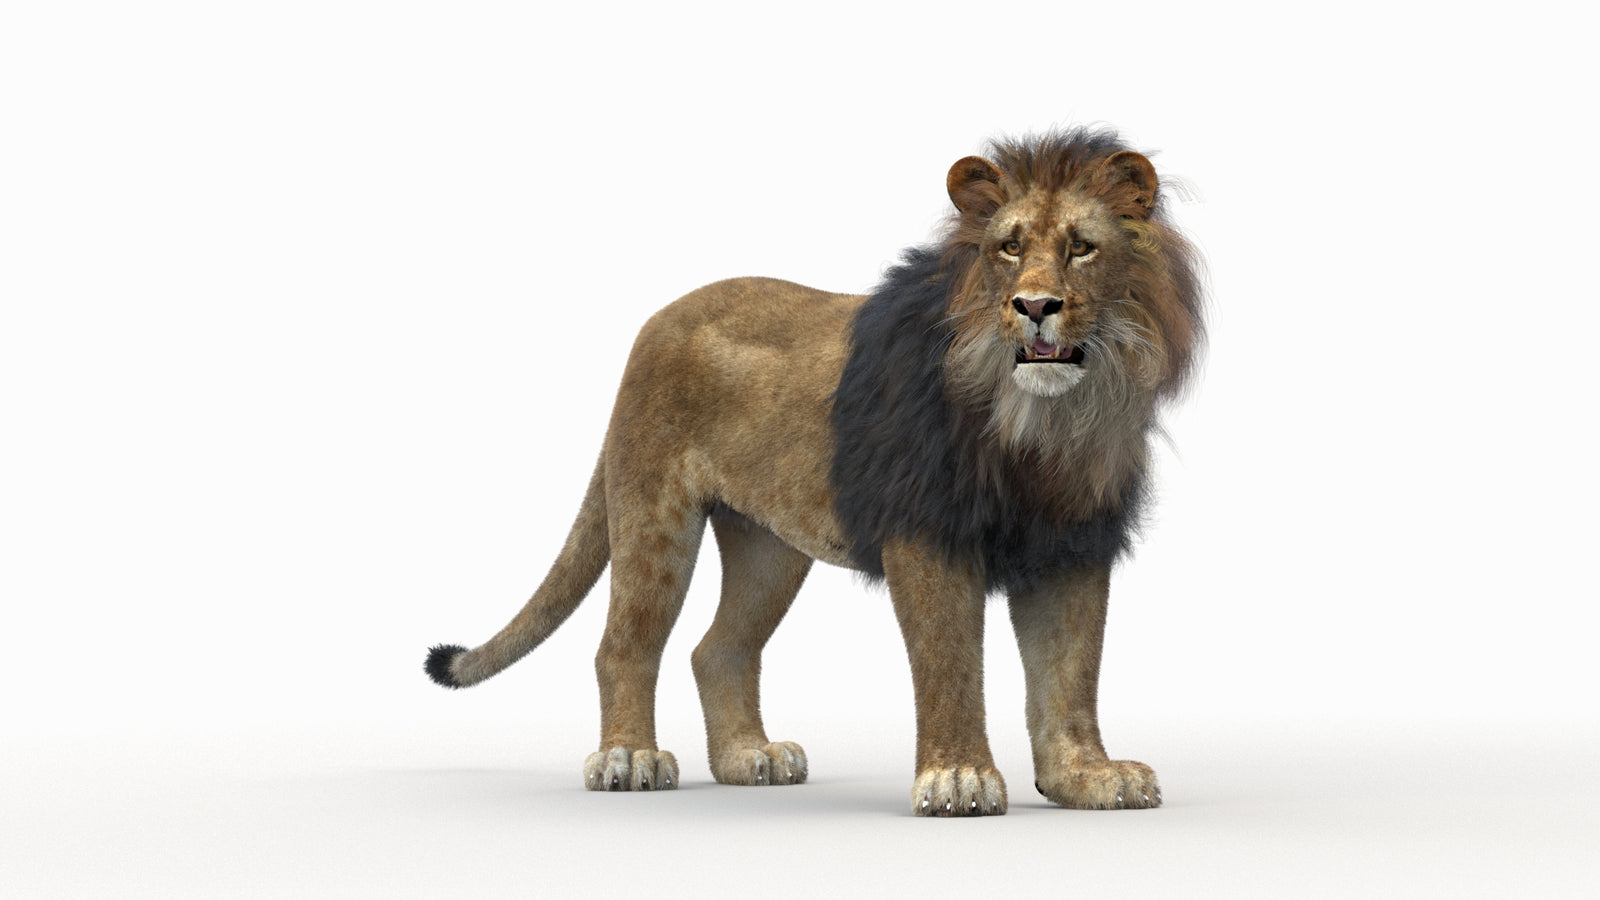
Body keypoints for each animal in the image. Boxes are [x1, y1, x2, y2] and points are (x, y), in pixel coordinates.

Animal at [426, 128, 1205, 816]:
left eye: (1081, 247)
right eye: (1010, 247)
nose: (1036, 307)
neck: (1043, 424)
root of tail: (655, 321)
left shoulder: (1073, 541)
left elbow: (1072, 673)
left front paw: (1087, 777)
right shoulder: (928, 533)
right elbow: (950, 662)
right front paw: (958, 778)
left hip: (769, 545)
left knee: (717, 650)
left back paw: (749, 758)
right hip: (655, 515)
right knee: (623, 645)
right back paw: (628, 759)